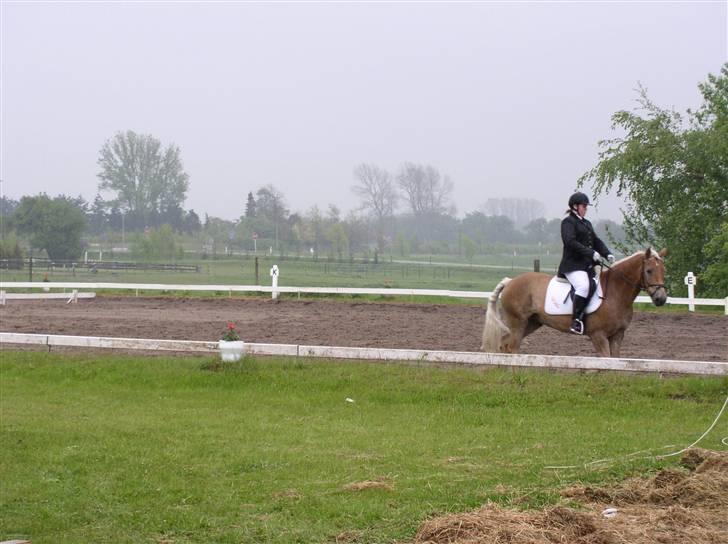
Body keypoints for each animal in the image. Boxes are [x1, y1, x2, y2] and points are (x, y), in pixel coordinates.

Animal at [480, 246, 668, 356]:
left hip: (531, 323)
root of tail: (510, 281)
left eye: (663, 270)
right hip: (517, 323)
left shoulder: (618, 335)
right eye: (649, 271)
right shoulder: (598, 335)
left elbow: (616, 362)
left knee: (504, 345)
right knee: (511, 348)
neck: (615, 293)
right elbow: (606, 360)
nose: (661, 298)